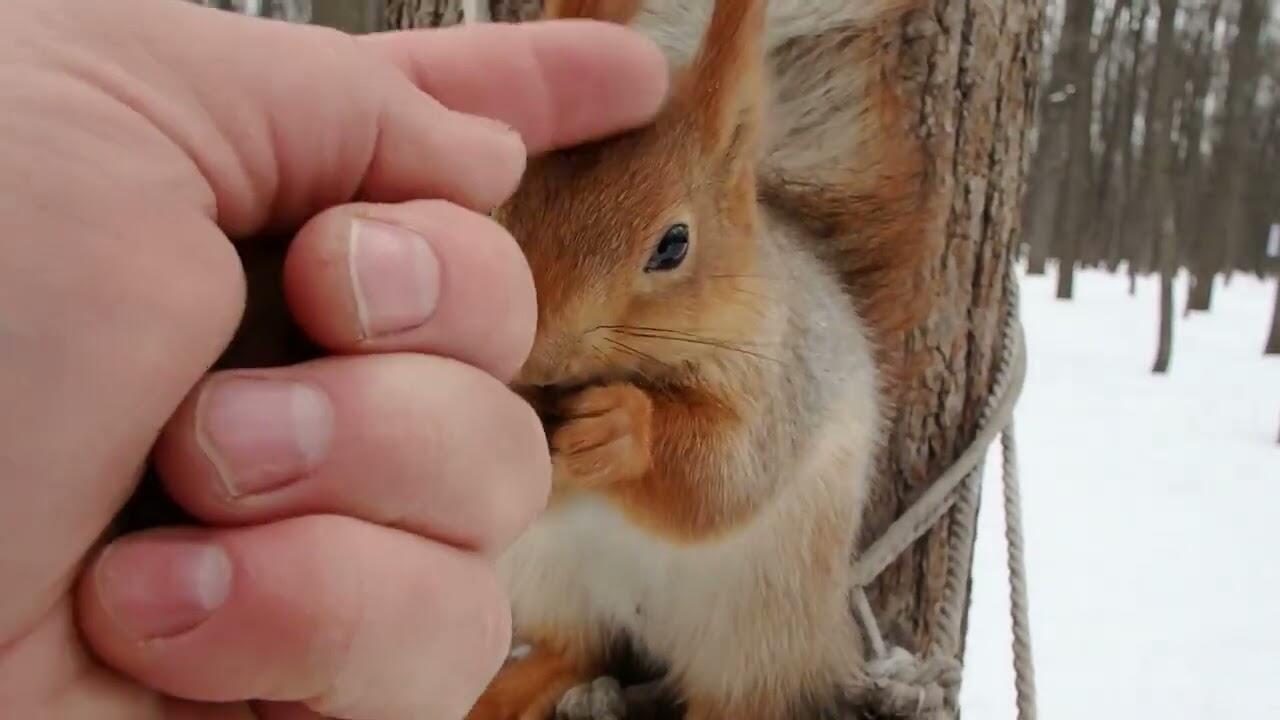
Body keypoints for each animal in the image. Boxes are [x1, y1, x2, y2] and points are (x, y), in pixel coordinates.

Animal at [465, 1, 936, 717]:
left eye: (673, 244)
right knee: (579, 648)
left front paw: (623, 427)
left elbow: (723, 479)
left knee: (739, 696)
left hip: (761, 630)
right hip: (550, 580)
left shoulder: (783, 381)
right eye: (506, 205)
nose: (536, 352)